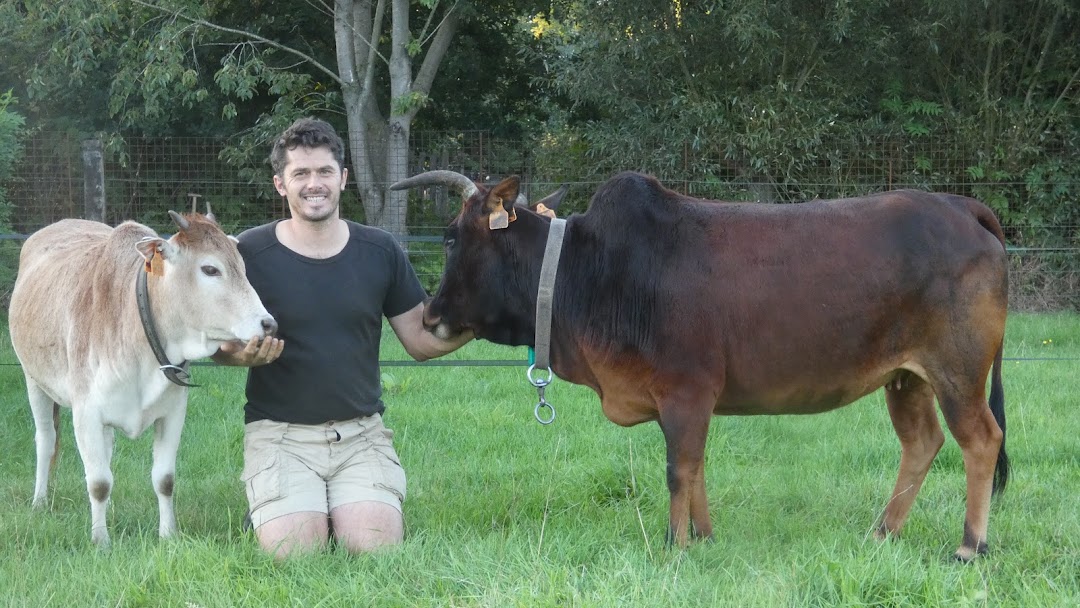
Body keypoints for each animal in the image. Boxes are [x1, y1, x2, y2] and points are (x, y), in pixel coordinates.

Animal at [8, 212, 276, 546]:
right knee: (46, 441)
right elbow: (98, 482)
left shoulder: (173, 412)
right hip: (33, 380)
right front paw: (100, 542)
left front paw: (168, 535)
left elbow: (164, 479)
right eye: (210, 269)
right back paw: (40, 502)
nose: (267, 323)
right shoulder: (86, 413)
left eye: (242, 266)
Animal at [393, 170, 1006, 561]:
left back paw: (970, 546)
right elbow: (696, 467)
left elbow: (677, 470)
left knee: (980, 440)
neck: (588, 271)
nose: (430, 314)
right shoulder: (689, 402)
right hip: (906, 378)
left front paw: (676, 544)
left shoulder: (685, 391)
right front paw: (705, 537)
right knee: (922, 443)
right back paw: (882, 533)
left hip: (956, 372)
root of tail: (959, 206)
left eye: (449, 238)